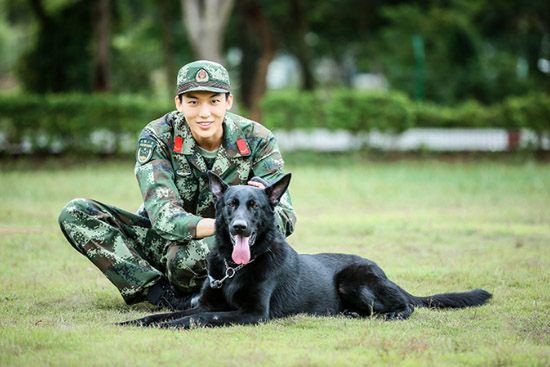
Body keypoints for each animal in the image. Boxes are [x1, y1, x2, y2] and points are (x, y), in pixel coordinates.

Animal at [121, 174, 492, 330]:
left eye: (254, 206)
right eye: (230, 205)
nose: (239, 227)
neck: (234, 270)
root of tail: (381, 271)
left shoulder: (253, 314)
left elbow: (197, 317)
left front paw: (176, 325)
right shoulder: (210, 302)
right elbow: (165, 314)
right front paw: (136, 321)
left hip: (354, 280)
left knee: (406, 306)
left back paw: (391, 315)